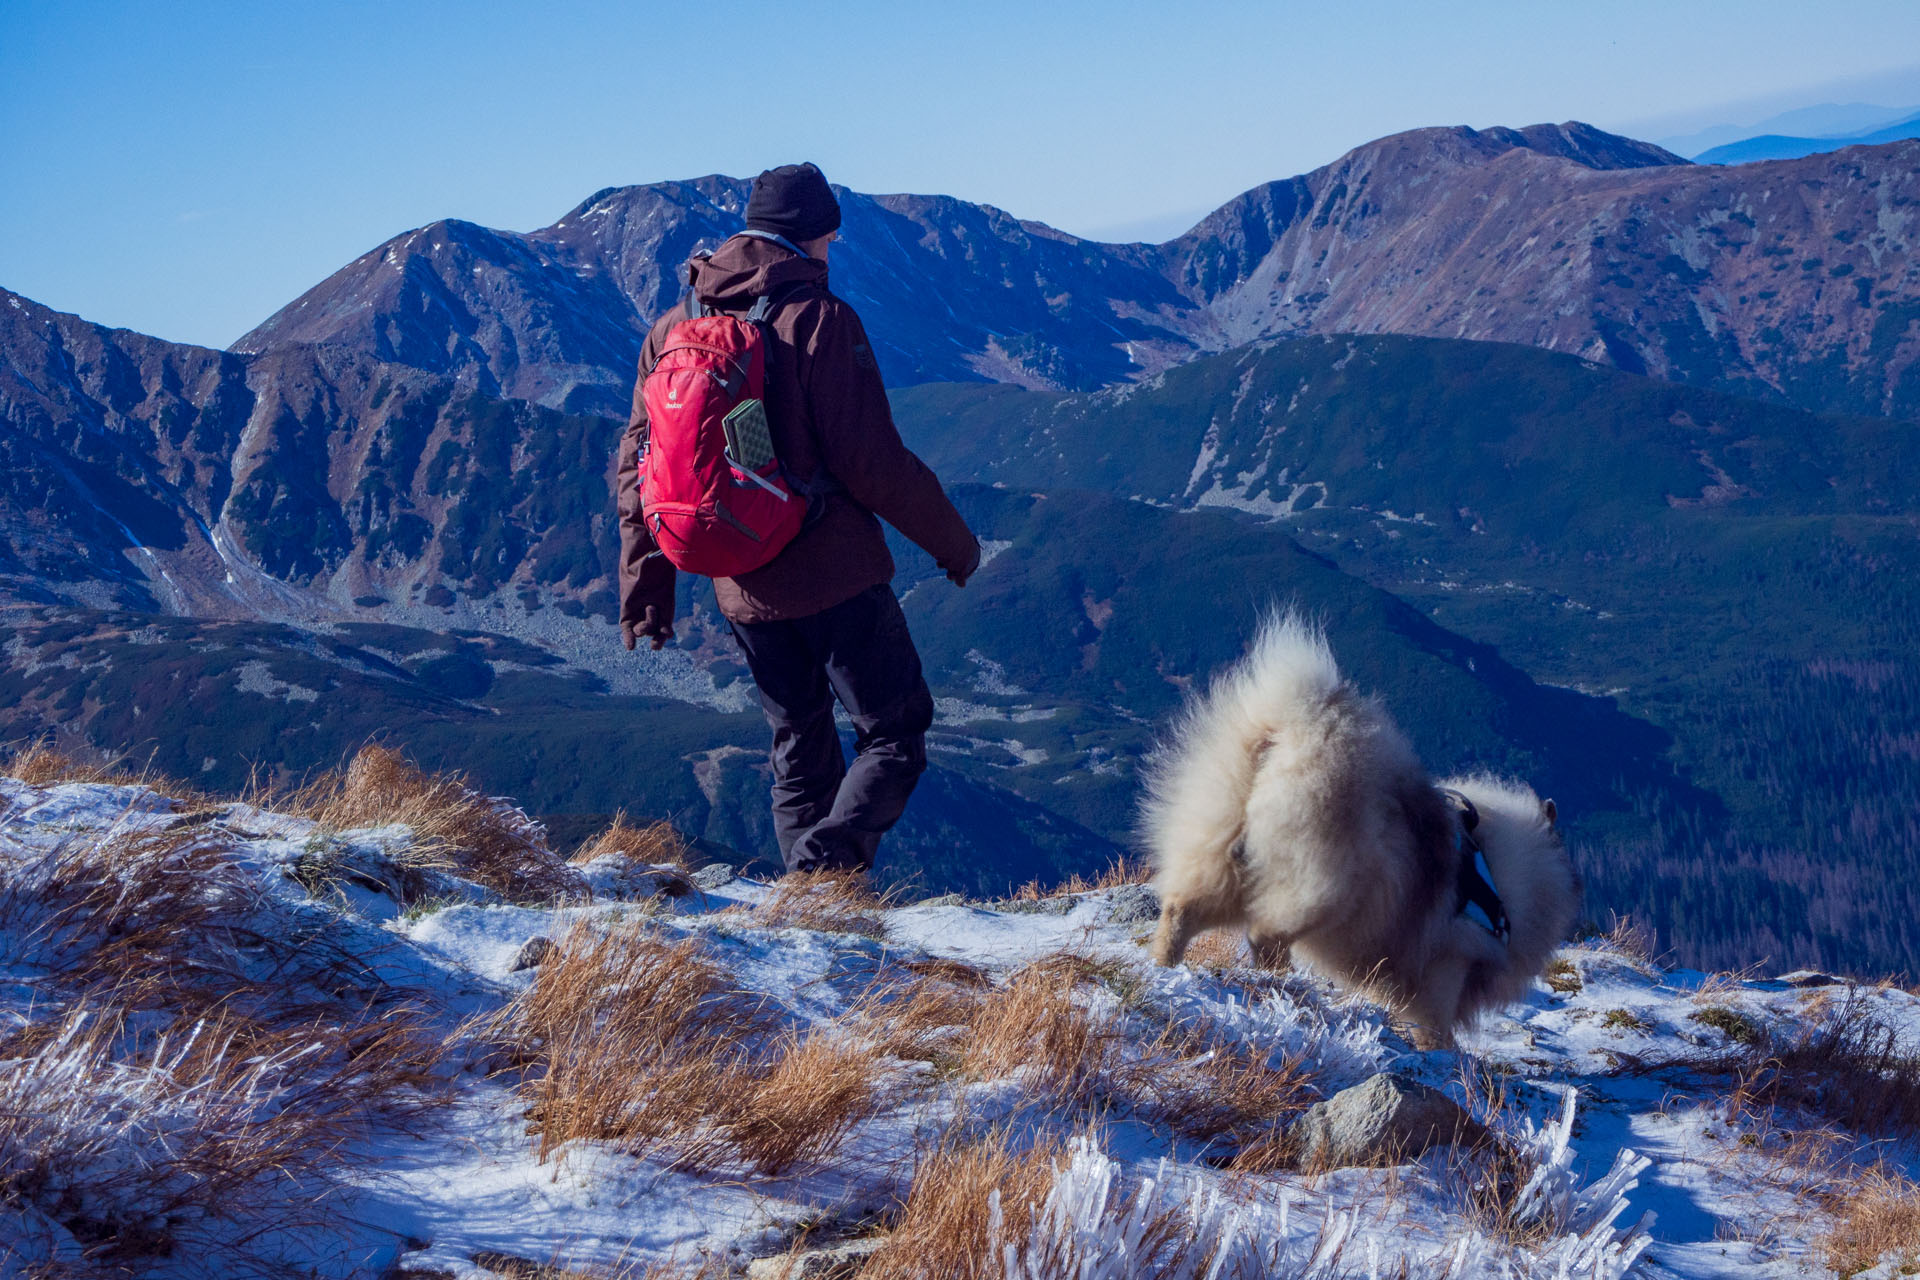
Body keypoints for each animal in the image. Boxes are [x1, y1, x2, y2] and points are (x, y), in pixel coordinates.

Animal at [1144, 614, 1582, 1043]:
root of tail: (1289, 733)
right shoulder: (1449, 960)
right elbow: (1434, 1025)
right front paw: (1441, 1053)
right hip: (1321, 886)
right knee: (1265, 935)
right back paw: (1285, 985)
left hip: (1219, 854)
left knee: (1183, 910)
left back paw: (1166, 965)